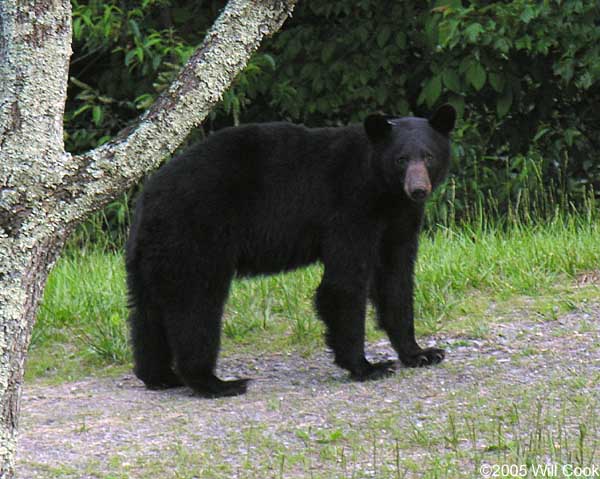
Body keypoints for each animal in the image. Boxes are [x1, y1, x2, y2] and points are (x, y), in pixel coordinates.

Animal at [125, 104, 454, 398]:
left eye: (428, 156)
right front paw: (366, 366)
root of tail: (148, 198)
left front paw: (421, 353)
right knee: (196, 306)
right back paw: (214, 383)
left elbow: (395, 279)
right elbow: (343, 284)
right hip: (196, 235)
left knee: (146, 312)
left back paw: (160, 376)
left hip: (152, 253)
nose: (418, 189)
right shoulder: (350, 208)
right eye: (401, 159)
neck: (383, 190)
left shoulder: (400, 220)